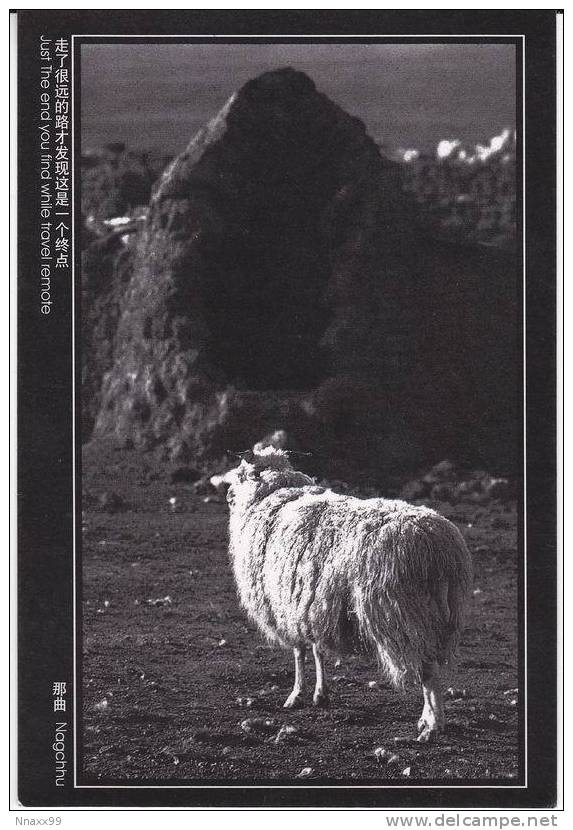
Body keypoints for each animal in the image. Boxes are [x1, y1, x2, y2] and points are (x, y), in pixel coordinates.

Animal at [226, 452, 472, 744]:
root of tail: (439, 548)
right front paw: (320, 694)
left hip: (401, 617)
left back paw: (432, 726)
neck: (274, 494)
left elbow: (299, 652)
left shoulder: (285, 607)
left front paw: (296, 694)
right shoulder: (313, 604)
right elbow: (317, 649)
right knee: (432, 667)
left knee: (428, 672)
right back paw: (429, 720)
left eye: (245, 473)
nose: (228, 494)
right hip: (440, 619)